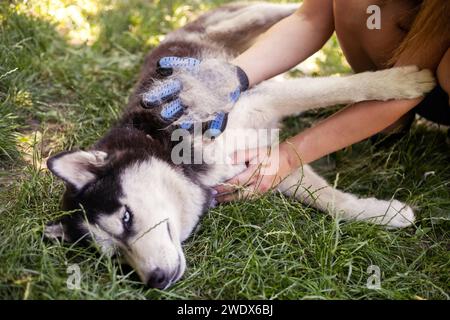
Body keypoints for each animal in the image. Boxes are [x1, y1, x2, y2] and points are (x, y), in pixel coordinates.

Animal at [45, 2, 436, 288]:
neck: (169, 149)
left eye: (125, 218)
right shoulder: (264, 164)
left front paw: (402, 82)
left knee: (275, 15)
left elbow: (340, 87)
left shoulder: (259, 104)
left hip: (240, 27)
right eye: (114, 256)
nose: (155, 281)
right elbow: (329, 199)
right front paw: (384, 213)